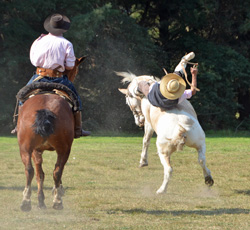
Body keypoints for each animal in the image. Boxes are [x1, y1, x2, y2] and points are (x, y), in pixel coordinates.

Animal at [17, 56, 86, 211]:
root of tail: (45, 109)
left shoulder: (36, 150)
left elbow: (39, 174)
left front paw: (40, 201)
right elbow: (44, 174)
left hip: (25, 148)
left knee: (30, 170)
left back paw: (26, 202)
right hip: (64, 149)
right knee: (56, 171)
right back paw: (57, 201)